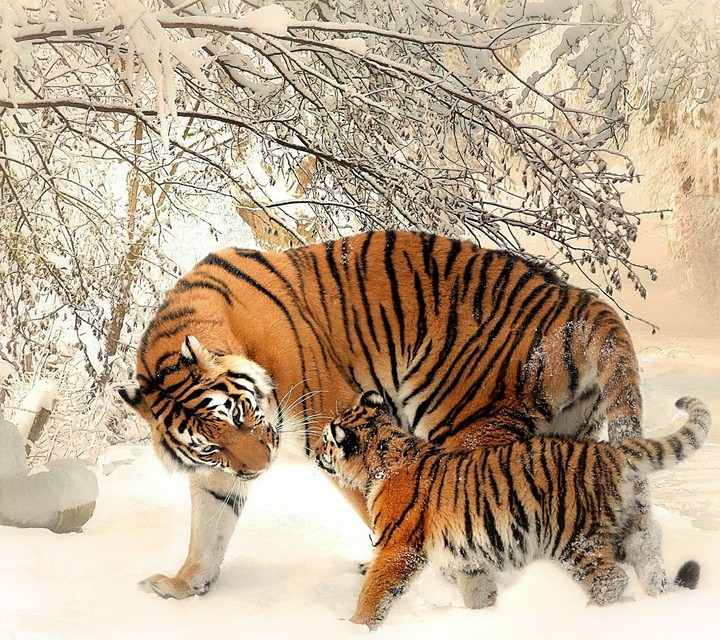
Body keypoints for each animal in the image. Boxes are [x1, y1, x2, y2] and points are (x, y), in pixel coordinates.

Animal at [119, 229, 664, 601]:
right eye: (210, 444)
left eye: (239, 415)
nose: (259, 468)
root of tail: (576, 299)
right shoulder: (219, 472)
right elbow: (208, 527)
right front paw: (183, 584)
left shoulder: (333, 424)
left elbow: (381, 506)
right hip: (571, 438)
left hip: (468, 426)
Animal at [315, 391, 710, 629]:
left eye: (325, 441)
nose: (316, 453)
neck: (383, 457)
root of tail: (608, 450)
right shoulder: (468, 557)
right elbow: (477, 591)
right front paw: (484, 620)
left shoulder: (397, 548)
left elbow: (374, 592)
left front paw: (354, 626)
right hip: (631, 530)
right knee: (650, 565)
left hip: (575, 538)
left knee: (611, 580)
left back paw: (589, 617)